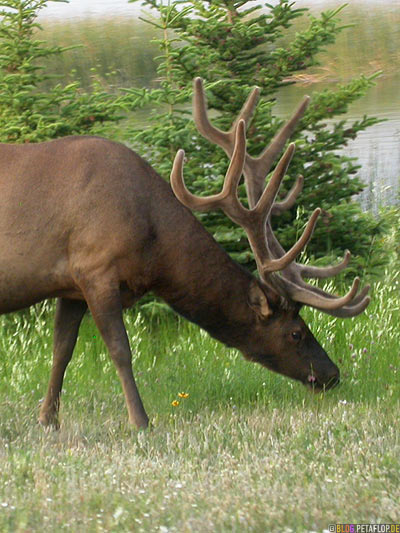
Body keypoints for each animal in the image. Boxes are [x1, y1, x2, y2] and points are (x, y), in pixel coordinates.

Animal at [0, 78, 368, 428]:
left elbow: (62, 350)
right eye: (296, 332)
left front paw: (48, 419)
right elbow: (120, 350)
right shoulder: (96, 268)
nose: (331, 374)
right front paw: (140, 420)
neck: (154, 248)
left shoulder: (71, 285)